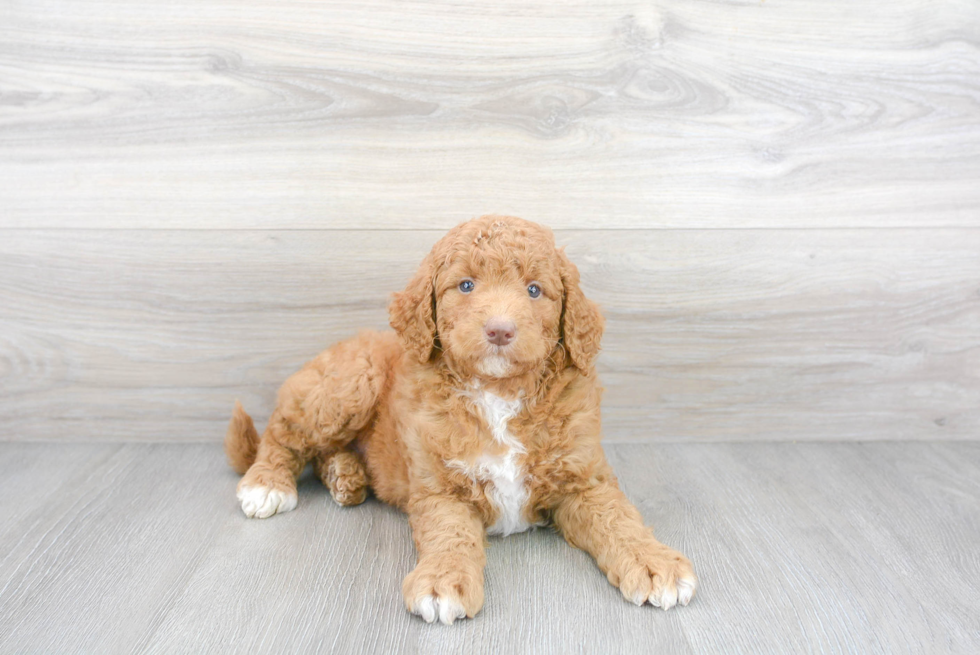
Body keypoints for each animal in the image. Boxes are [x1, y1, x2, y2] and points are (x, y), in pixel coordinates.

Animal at [227, 215, 696, 624]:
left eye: (534, 290)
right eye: (466, 285)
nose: (500, 330)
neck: (499, 393)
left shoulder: (584, 480)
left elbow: (619, 518)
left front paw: (655, 564)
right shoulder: (440, 490)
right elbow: (450, 535)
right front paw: (443, 583)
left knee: (323, 450)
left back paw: (346, 475)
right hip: (350, 383)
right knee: (284, 432)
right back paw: (267, 484)